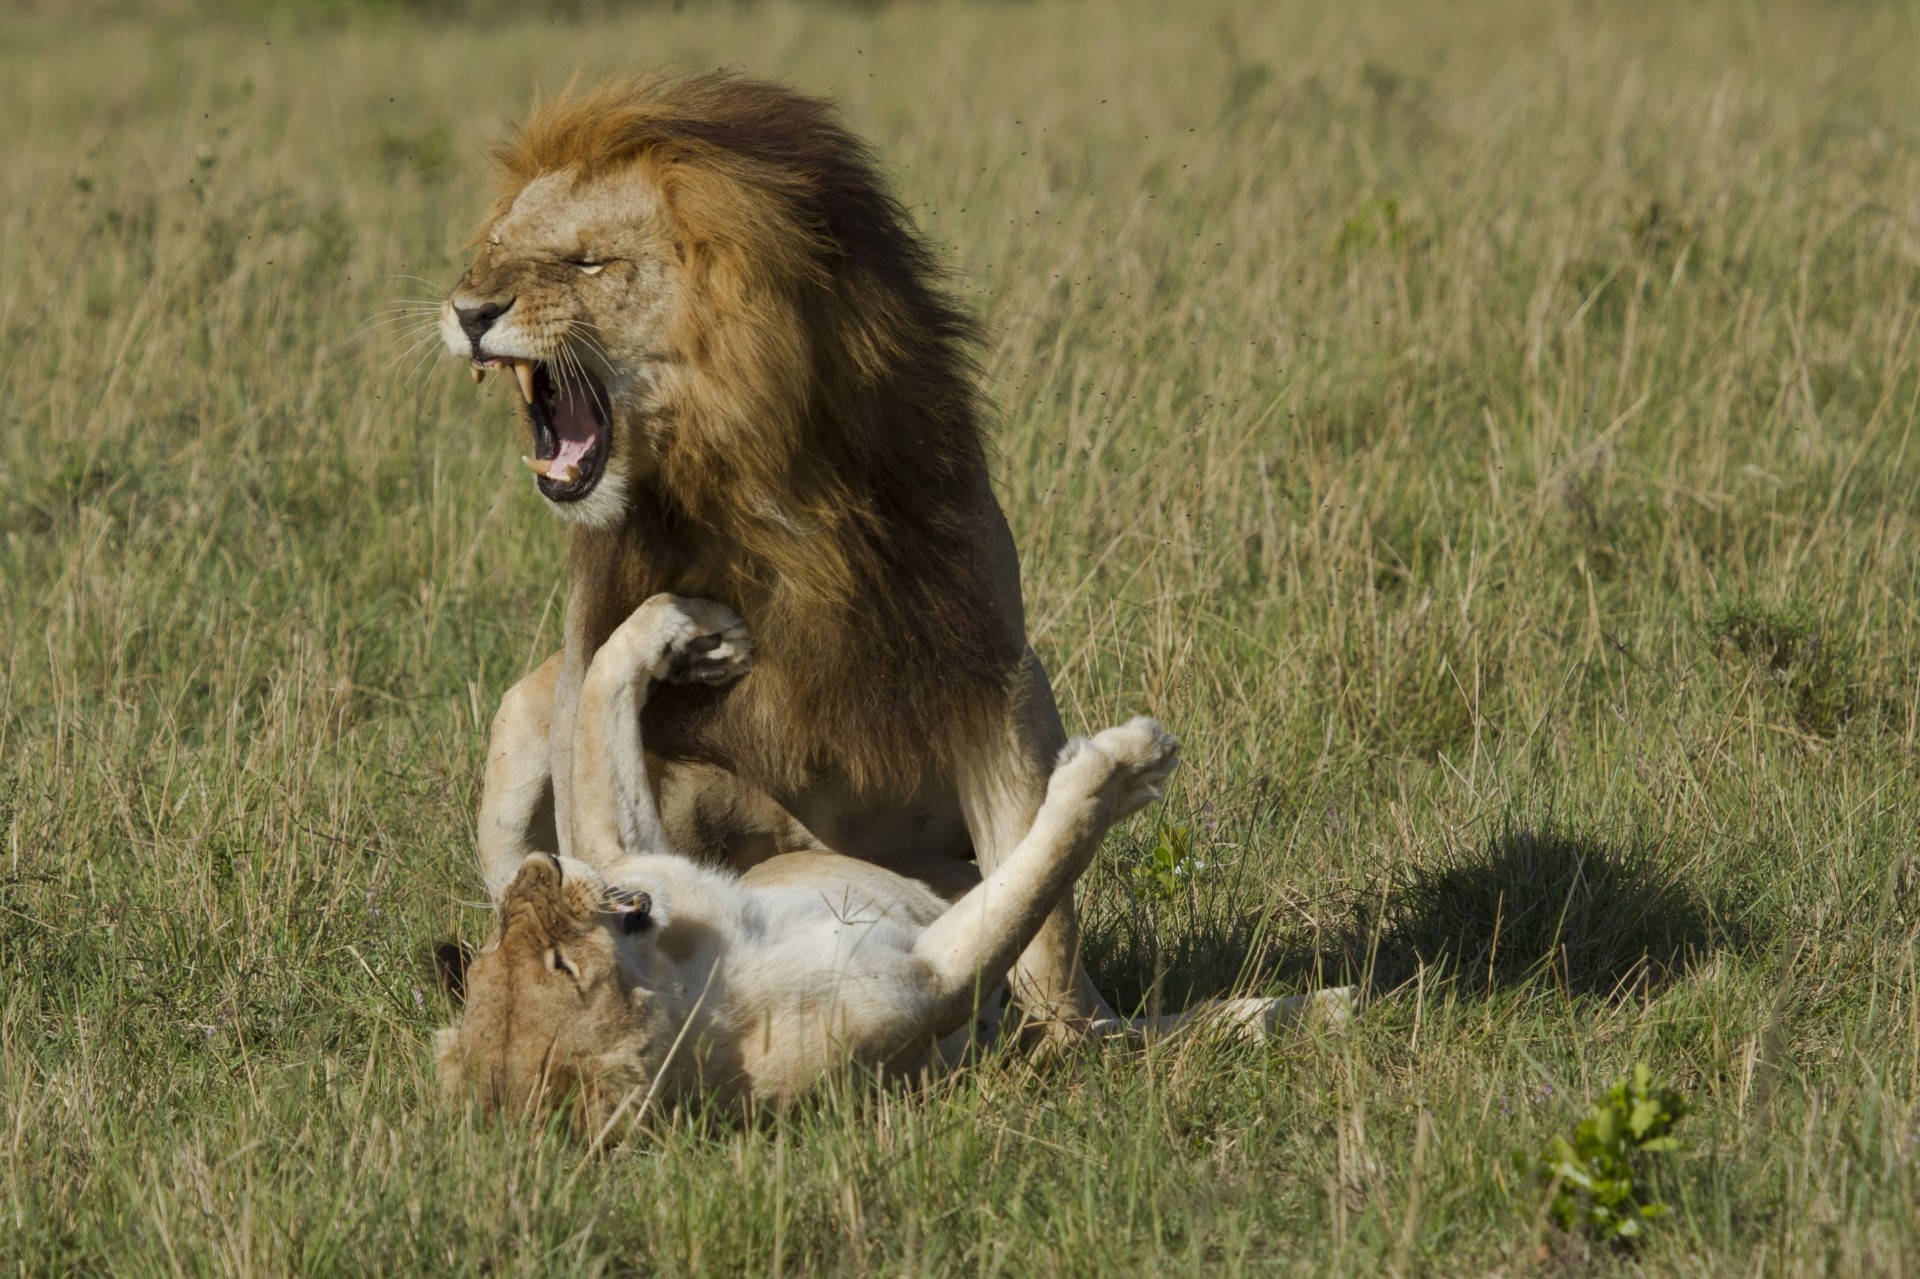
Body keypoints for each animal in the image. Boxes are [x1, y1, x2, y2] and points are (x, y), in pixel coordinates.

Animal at [437, 72, 1113, 1029]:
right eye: (493, 251)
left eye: (586, 262)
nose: (467, 312)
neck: (747, 483)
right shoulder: (579, 686)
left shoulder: (994, 666)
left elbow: (1043, 912)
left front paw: (1068, 1033)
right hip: (518, 732)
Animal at [439, 591, 1182, 1121]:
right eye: (560, 966)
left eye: (493, 948)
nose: (536, 871)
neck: (692, 971)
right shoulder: (926, 990)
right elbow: (1037, 876)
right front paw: (1123, 767)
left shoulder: (627, 854)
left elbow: (599, 701)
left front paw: (683, 626)